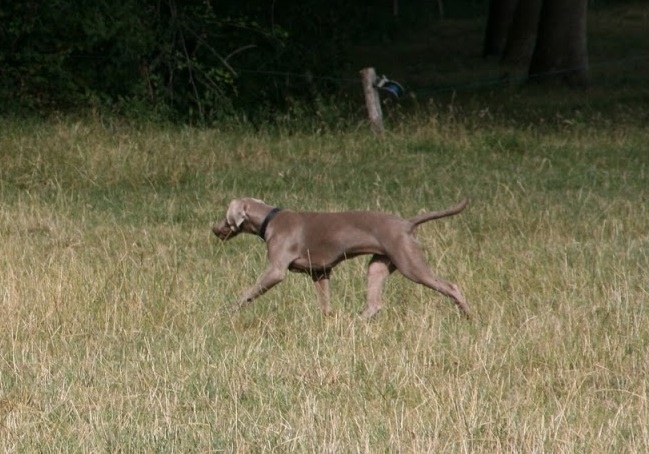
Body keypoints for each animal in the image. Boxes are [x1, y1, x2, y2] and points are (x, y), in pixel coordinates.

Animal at [214, 196, 470, 320]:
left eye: (225, 216)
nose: (213, 229)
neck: (270, 218)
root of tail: (407, 223)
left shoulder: (275, 271)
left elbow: (247, 294)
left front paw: (227, 312)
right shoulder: (320, 273)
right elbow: (325, 303)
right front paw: (328, 320)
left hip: (410, 263)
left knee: (451, 286)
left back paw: (468, 316)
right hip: (378, 265)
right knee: (374, 304)